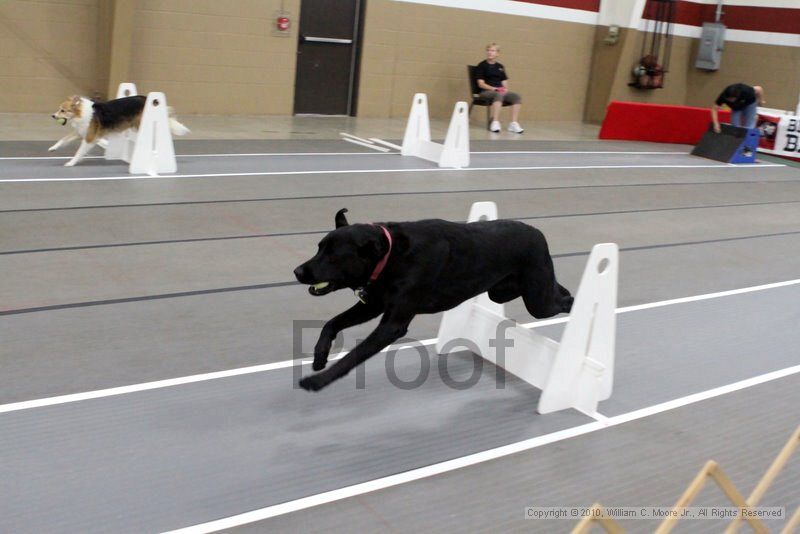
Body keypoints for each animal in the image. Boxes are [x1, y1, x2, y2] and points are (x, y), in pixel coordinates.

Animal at [290, 210, 572, 394]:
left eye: (333, 257)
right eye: (319, 247)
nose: (297, 271)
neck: (390, 256)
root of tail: (539, 233)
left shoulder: (392, 324)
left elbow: (352, 356)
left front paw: (318, 381)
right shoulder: (373, 305)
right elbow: (331, 323)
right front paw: (319, 356)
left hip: (537, 302)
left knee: (560, 301)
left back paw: (573, 305)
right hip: (503, 291)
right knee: (554, 289)